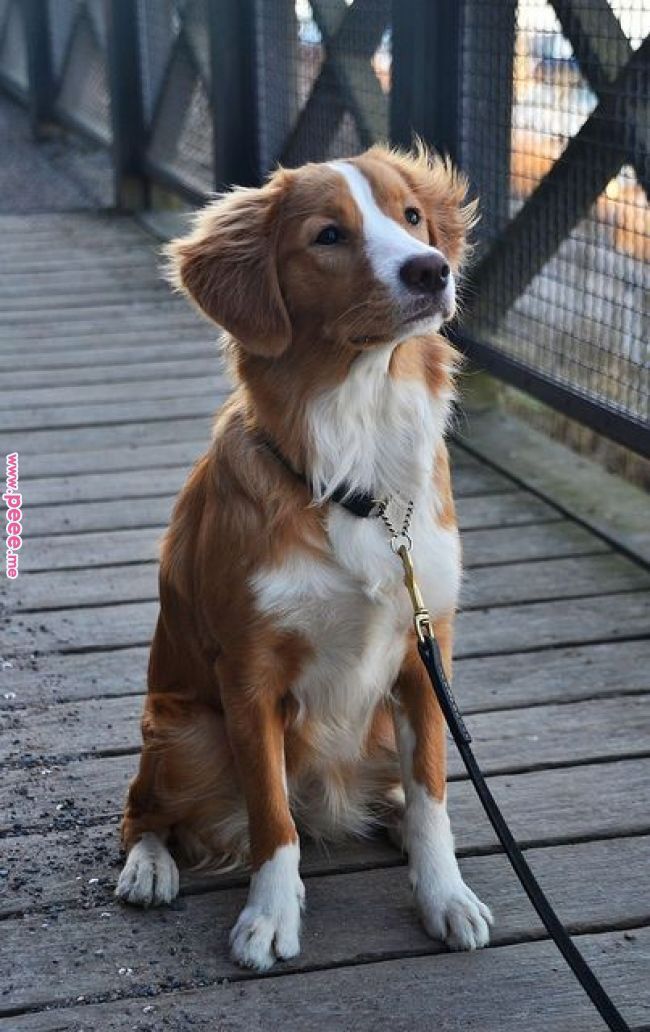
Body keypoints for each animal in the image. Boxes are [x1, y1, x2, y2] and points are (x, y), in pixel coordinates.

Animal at [117, 143, 493, 965]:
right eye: (328, 236)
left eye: (410, 216)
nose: (430, 270)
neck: (359, 464)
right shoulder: (249, 673)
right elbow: (270, 816)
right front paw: (270, 916)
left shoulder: (426, 654)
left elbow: (433, 793)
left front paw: (444, 894)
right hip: (184, 729)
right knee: (142, 811)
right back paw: (149, 868)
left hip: (376, 722)